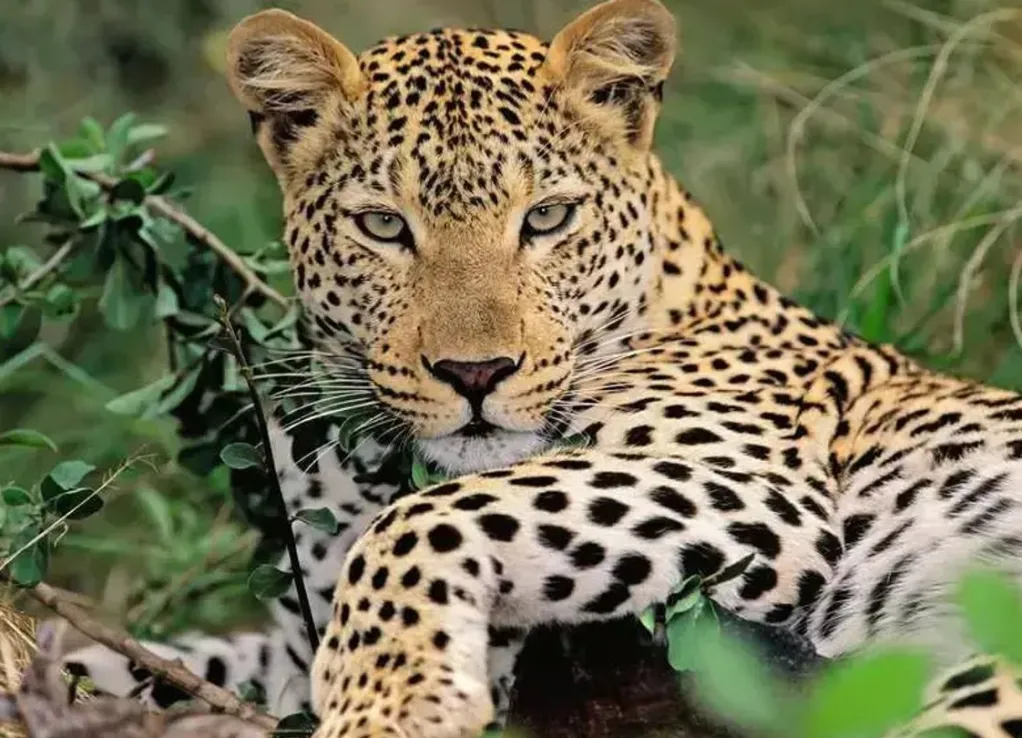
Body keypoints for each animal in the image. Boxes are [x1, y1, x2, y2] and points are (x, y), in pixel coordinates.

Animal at [61, 1, 1022, 737]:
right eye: (383, 226)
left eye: (549, 218)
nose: (475, 374)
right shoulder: (297, 633)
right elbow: (157, 659)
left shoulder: (756, 490)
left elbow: (425, 519)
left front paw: (392, 704)